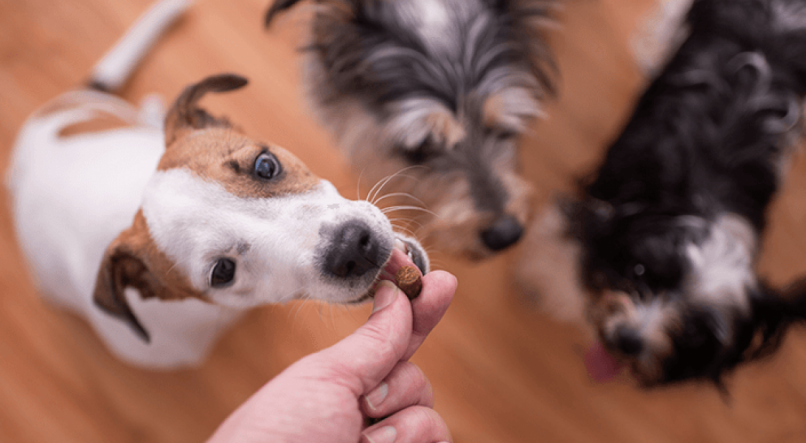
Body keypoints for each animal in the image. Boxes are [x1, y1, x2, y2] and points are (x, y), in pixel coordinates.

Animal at [520, 0, 806, 388]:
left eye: (694, 332)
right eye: (640, 271)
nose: (629, 341)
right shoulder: (605, 205)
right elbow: (569, 245)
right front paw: (548, 284)